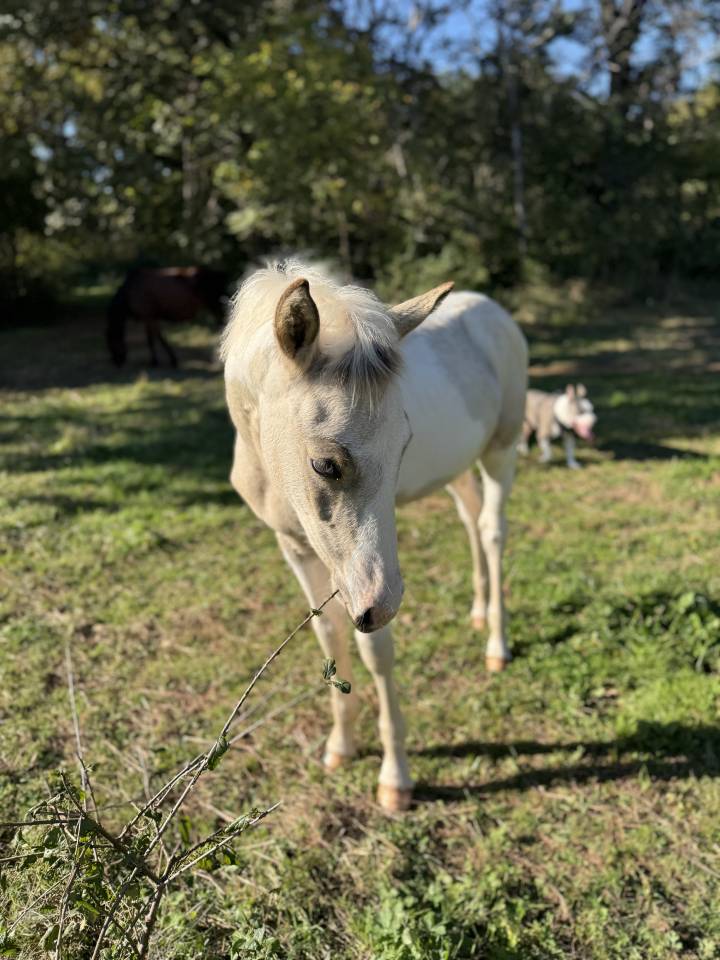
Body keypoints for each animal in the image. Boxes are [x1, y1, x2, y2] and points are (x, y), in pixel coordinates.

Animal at [220, 259, 528, 811]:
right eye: (325, 464)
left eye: (404, 442)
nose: (380, 608)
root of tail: (492, 309)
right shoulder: (296, 548)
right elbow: (328, 635)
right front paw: (339, 747)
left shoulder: (368, 578)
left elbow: (376, 651)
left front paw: (395, 779)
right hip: (457, 469)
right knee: (471, 519)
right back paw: (477, 613)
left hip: (502, 449)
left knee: (492, 530)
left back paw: (497, 644)